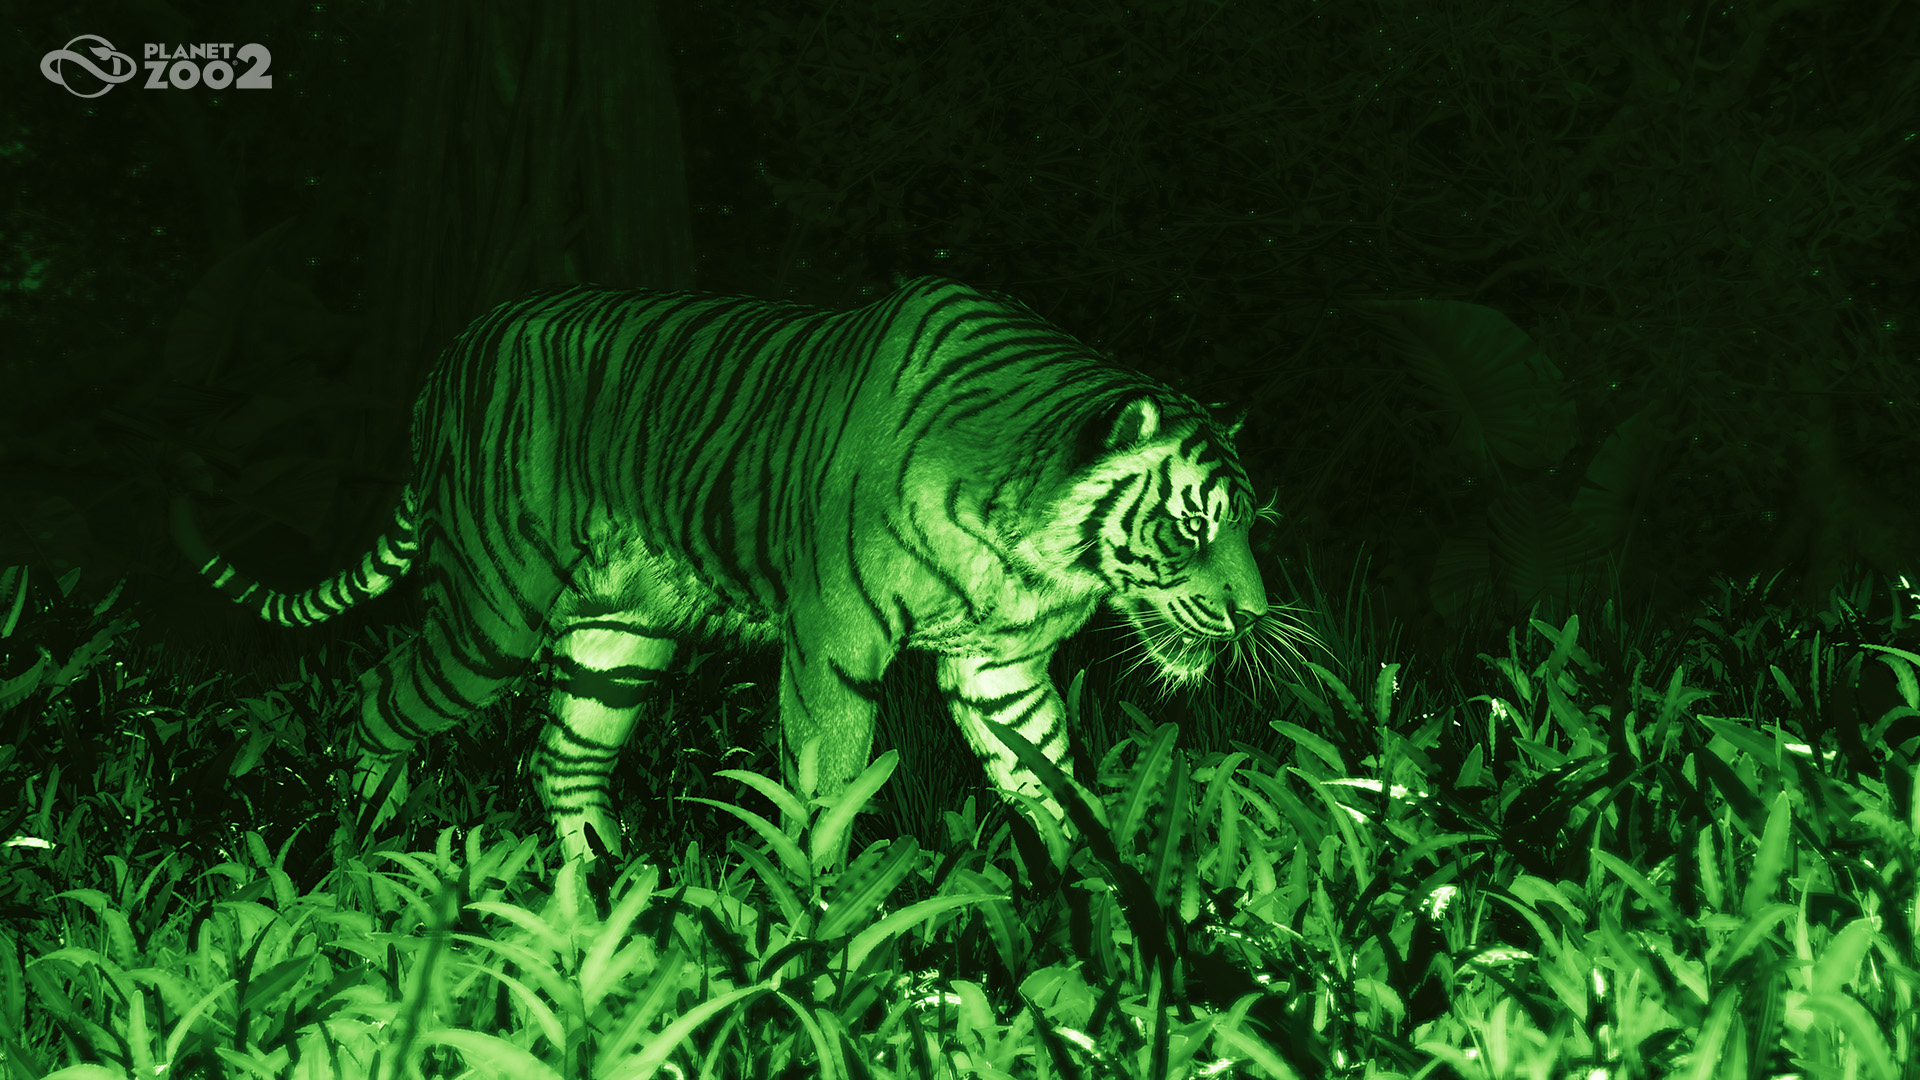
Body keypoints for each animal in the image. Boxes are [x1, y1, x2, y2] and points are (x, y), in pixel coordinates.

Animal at [173, 276, 1277, 863]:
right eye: (1193, 526)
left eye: (1251, 524)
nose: (1256, 618)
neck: (1031, 549)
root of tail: (450, 355)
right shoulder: (834, 643)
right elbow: (828, 786)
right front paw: (817, 915)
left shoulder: (997, 668)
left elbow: (1049, 777)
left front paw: (1102, 901)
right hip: (490, 615)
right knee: (373, 704)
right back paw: (365, 847)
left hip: (618, 639)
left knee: (561, 759)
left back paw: (608, 904)